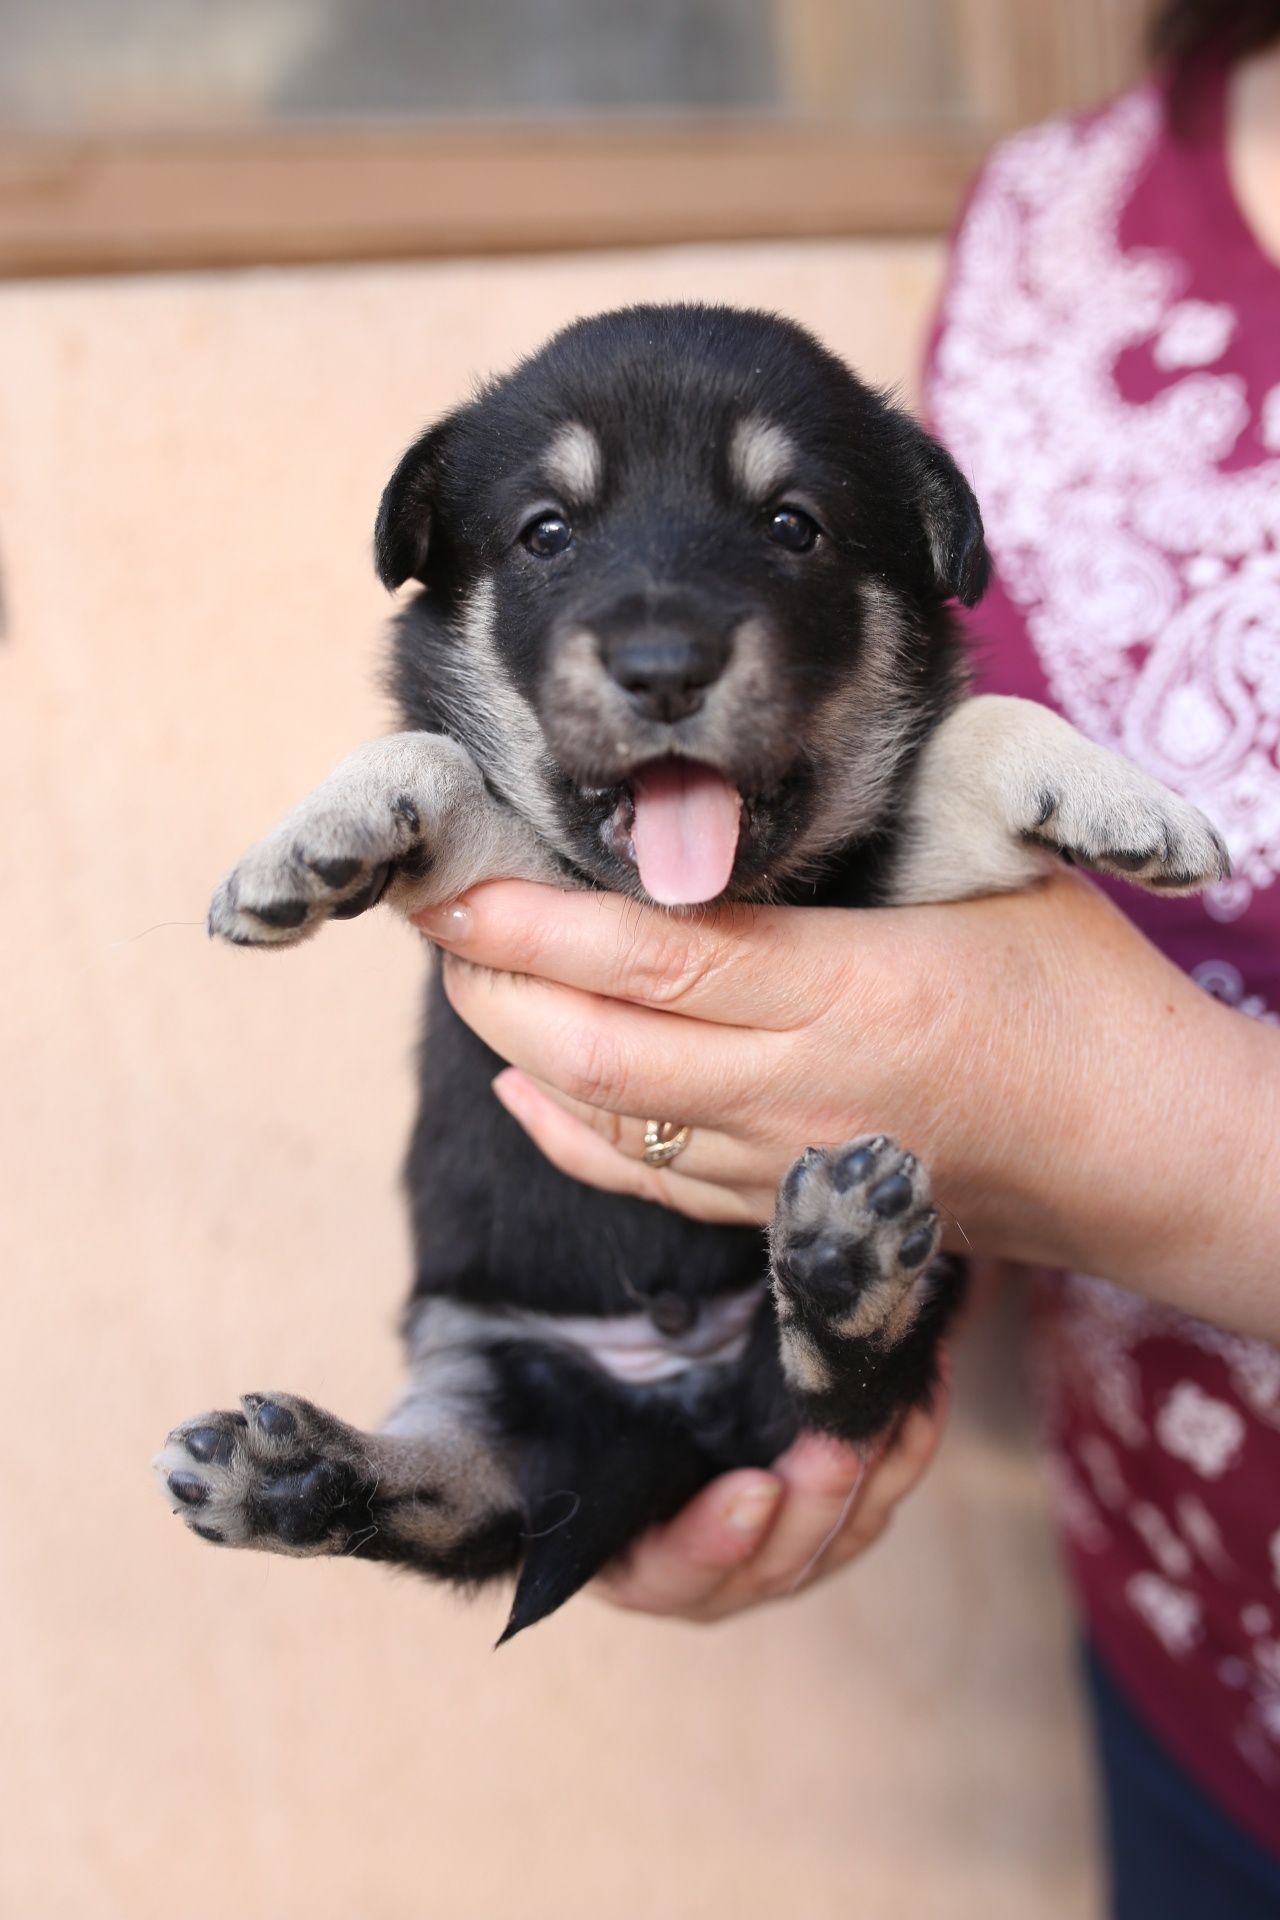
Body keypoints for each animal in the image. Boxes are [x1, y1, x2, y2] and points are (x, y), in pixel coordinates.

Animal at [152, 307, 1228, 1643]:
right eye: (545, 533)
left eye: (791, 525)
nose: (663, 665)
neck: (715, 897)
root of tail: (676, 1407)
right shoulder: (515, 881)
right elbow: (435, 761)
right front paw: (311, 843)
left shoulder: (886, 878)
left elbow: (965, 739)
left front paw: (1119, 797)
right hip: (482, 1349)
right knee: (468, 1497)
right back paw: (287, 1477)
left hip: (892, 1317)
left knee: (832, 1400)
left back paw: (839, 1269)